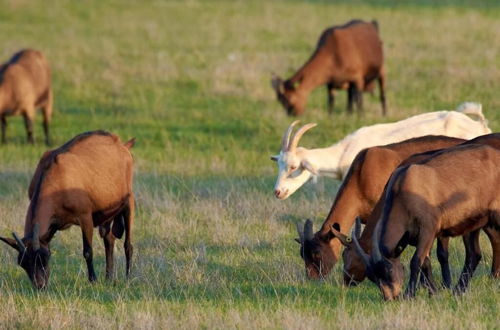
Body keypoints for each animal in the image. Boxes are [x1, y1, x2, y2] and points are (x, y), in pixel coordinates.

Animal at [0, 130, 135, 288]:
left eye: (44, 257)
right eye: (23, 263)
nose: (40, 286)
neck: (56, 179)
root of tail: (122, 144)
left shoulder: (85, 216)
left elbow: (88, 251)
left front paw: (93, 280)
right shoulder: (52, 225)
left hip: (128, 201)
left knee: (128, 244)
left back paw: (128, 277)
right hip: (106, 211)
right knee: (109, 239)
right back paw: (108, 277)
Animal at [334, 133, 500, 288]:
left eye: (347, 256)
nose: (347, 281)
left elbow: (438, 255)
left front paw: (440, 285)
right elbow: (427, 259)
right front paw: (430, 286)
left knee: (481, 248)